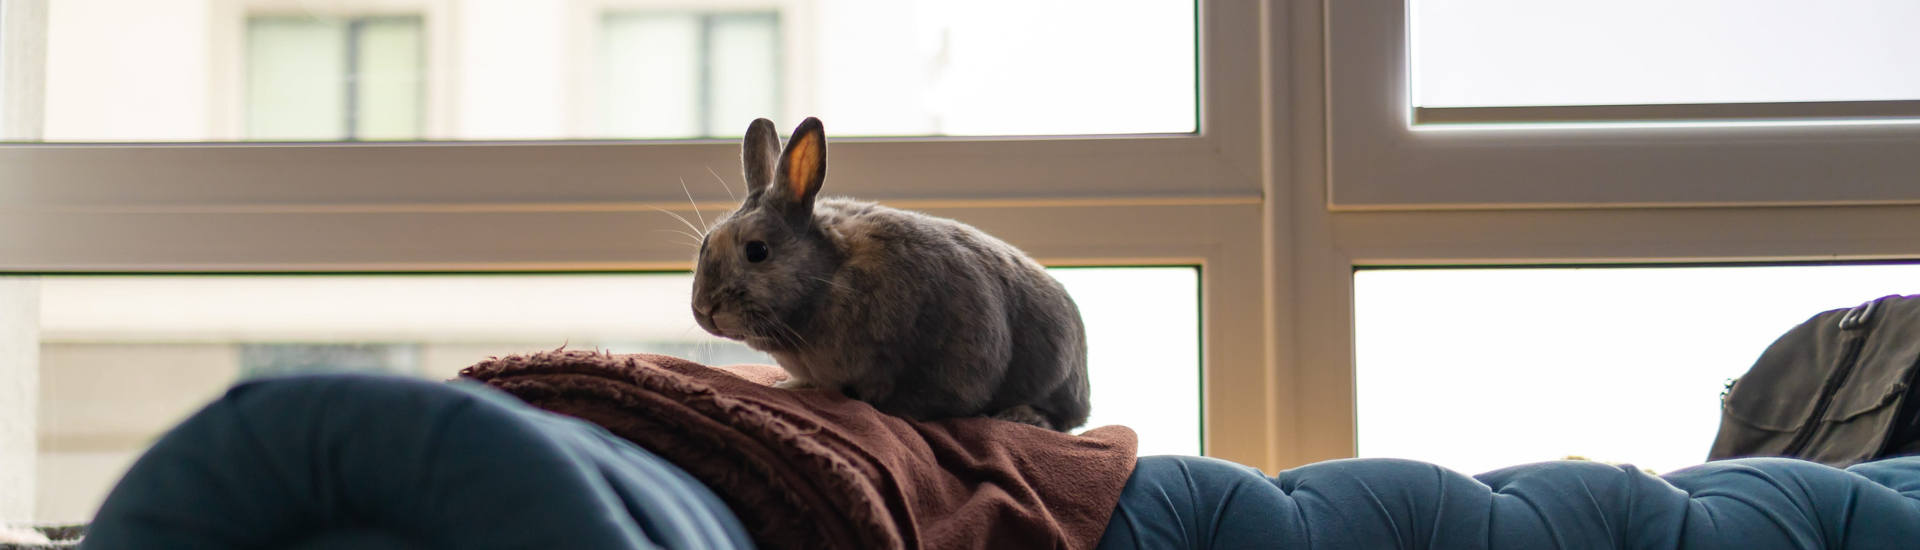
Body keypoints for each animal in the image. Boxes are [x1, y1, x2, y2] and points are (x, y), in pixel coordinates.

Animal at [690, 117, 1091, 432]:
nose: (704, 310)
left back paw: (1021, 417)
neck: (830, 276)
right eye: (705, 244)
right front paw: (790, 387)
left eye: (757, 251)